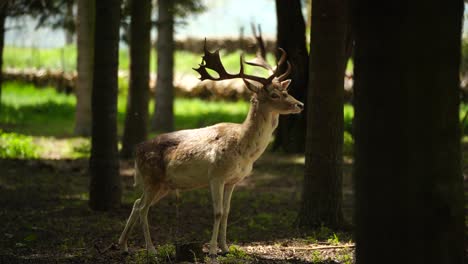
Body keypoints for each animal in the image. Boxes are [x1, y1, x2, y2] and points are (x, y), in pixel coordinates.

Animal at [118, 26, 304, 258]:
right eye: (274, 94)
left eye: (286, 90)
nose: (300, 104)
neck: (244, 150)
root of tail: (136, 151)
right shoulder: (216, 175)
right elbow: (217, 212)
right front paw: (213, 250)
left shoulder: (233, 180)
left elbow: (227, 212)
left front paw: (226, 247)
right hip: (152, 177)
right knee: (144, 209)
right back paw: (151, 250)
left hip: (163, 184)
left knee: (136, 203)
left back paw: (123, 245)